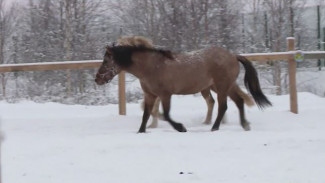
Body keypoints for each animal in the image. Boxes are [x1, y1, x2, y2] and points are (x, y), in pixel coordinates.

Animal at [94, 40, 270, 132]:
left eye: (106, 60)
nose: (97, 79)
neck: (151, 67)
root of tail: (233, 56)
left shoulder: (165, 95)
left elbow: (166, 114)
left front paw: (180, 127)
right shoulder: (150, 95)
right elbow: (146, 115)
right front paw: (141, 131)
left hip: (221, 87)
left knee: (223, 107)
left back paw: (214, 127)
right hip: (225, 86)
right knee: (239, 101)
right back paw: (245, 125)